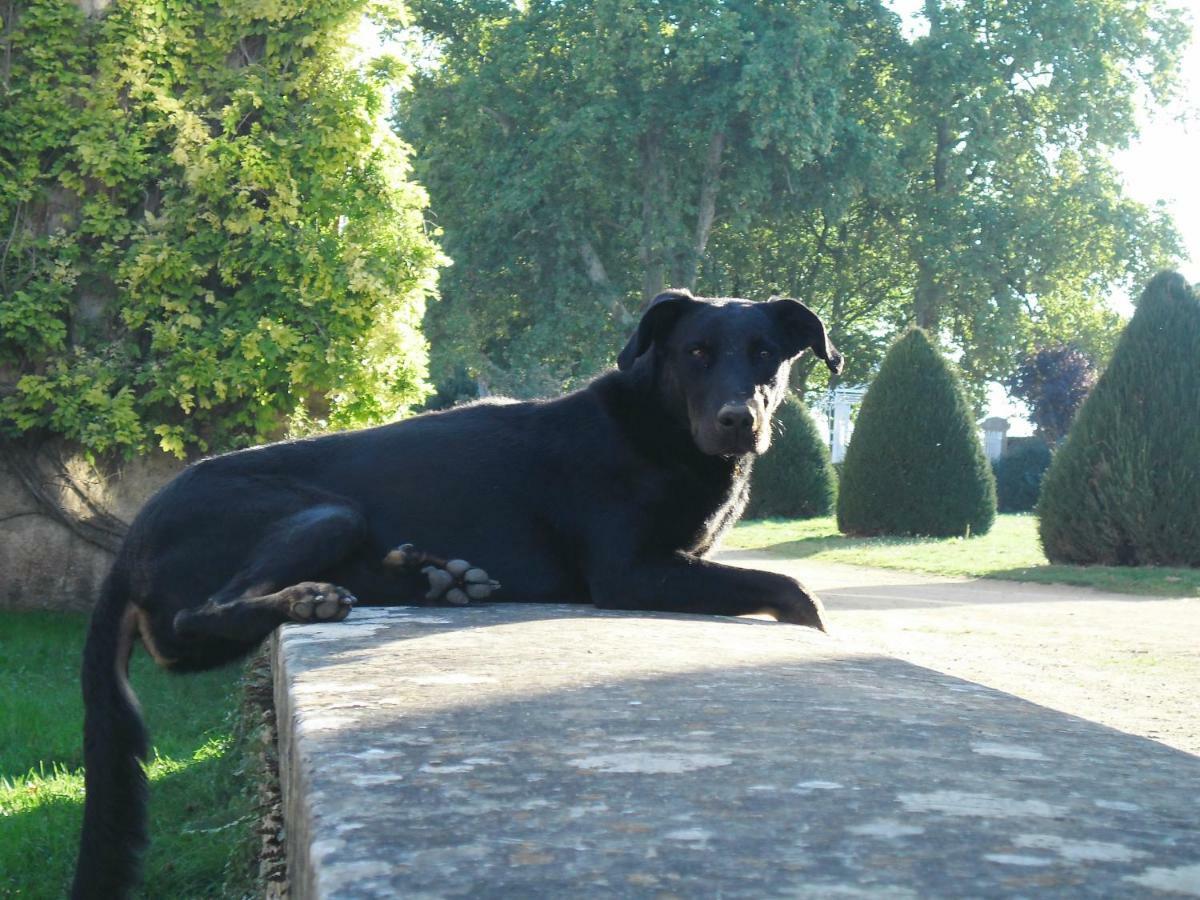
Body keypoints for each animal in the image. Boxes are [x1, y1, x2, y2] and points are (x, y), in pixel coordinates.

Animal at [72, 290, 844, 900]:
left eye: (767, 355)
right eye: (696, 352)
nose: (739, 421)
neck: (660, 427)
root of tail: (132, 540)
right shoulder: (632, 570)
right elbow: (792, 589)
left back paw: (438, 580)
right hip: (325, 513)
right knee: (187, 623)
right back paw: (311, 600)